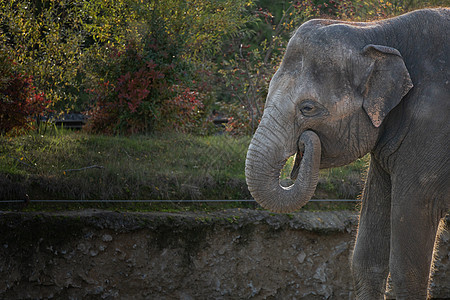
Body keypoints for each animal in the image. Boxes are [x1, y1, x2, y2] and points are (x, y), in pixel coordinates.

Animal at [246, 8, 450, 298]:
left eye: (308, 108)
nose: (305, 141)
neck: (378, 31)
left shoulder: (432, 126)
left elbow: (410, 250)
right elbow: (366, 258)